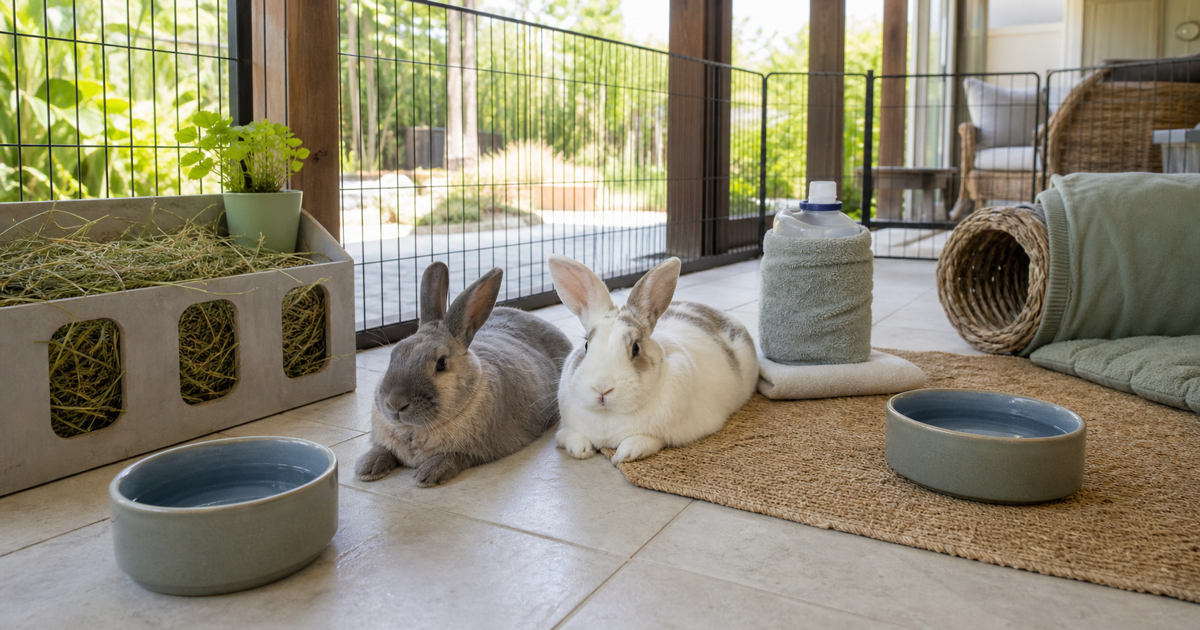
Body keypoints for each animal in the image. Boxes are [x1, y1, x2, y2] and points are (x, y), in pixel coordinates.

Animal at [355, 262, 573, 487]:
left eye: (441, 363)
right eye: (393, 354)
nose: (395, 403)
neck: (413, 430)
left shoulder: (475, 452)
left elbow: (454, 457)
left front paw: (428, 474)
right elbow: (383, 449)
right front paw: (367, 467)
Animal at [547, 254, 759, 463]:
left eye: (635, 348)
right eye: (586, 345)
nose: (602, 388)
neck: (609, 414)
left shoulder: (673, 433)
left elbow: (647, 439)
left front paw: (624, 454)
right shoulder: (565, 429)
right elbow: (571, 436)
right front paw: (581, 450)